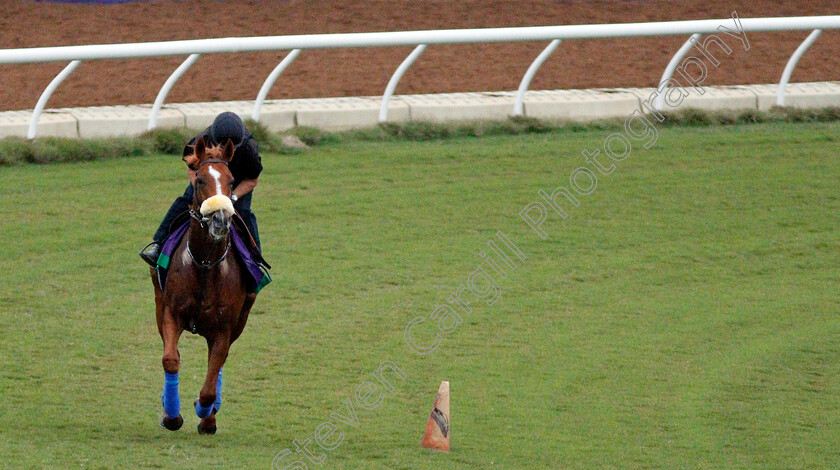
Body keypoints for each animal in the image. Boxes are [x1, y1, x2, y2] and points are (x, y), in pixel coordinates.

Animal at [151, 138, 256, 436]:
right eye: (199, 179)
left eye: (231, 181)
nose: (220, 219)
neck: (205, 264)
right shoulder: (171, 314)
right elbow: (170, 359)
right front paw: (171, 416)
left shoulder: (224, 327)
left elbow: (210, 383)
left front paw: (205, 414)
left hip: (240, 320)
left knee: (219, 361)